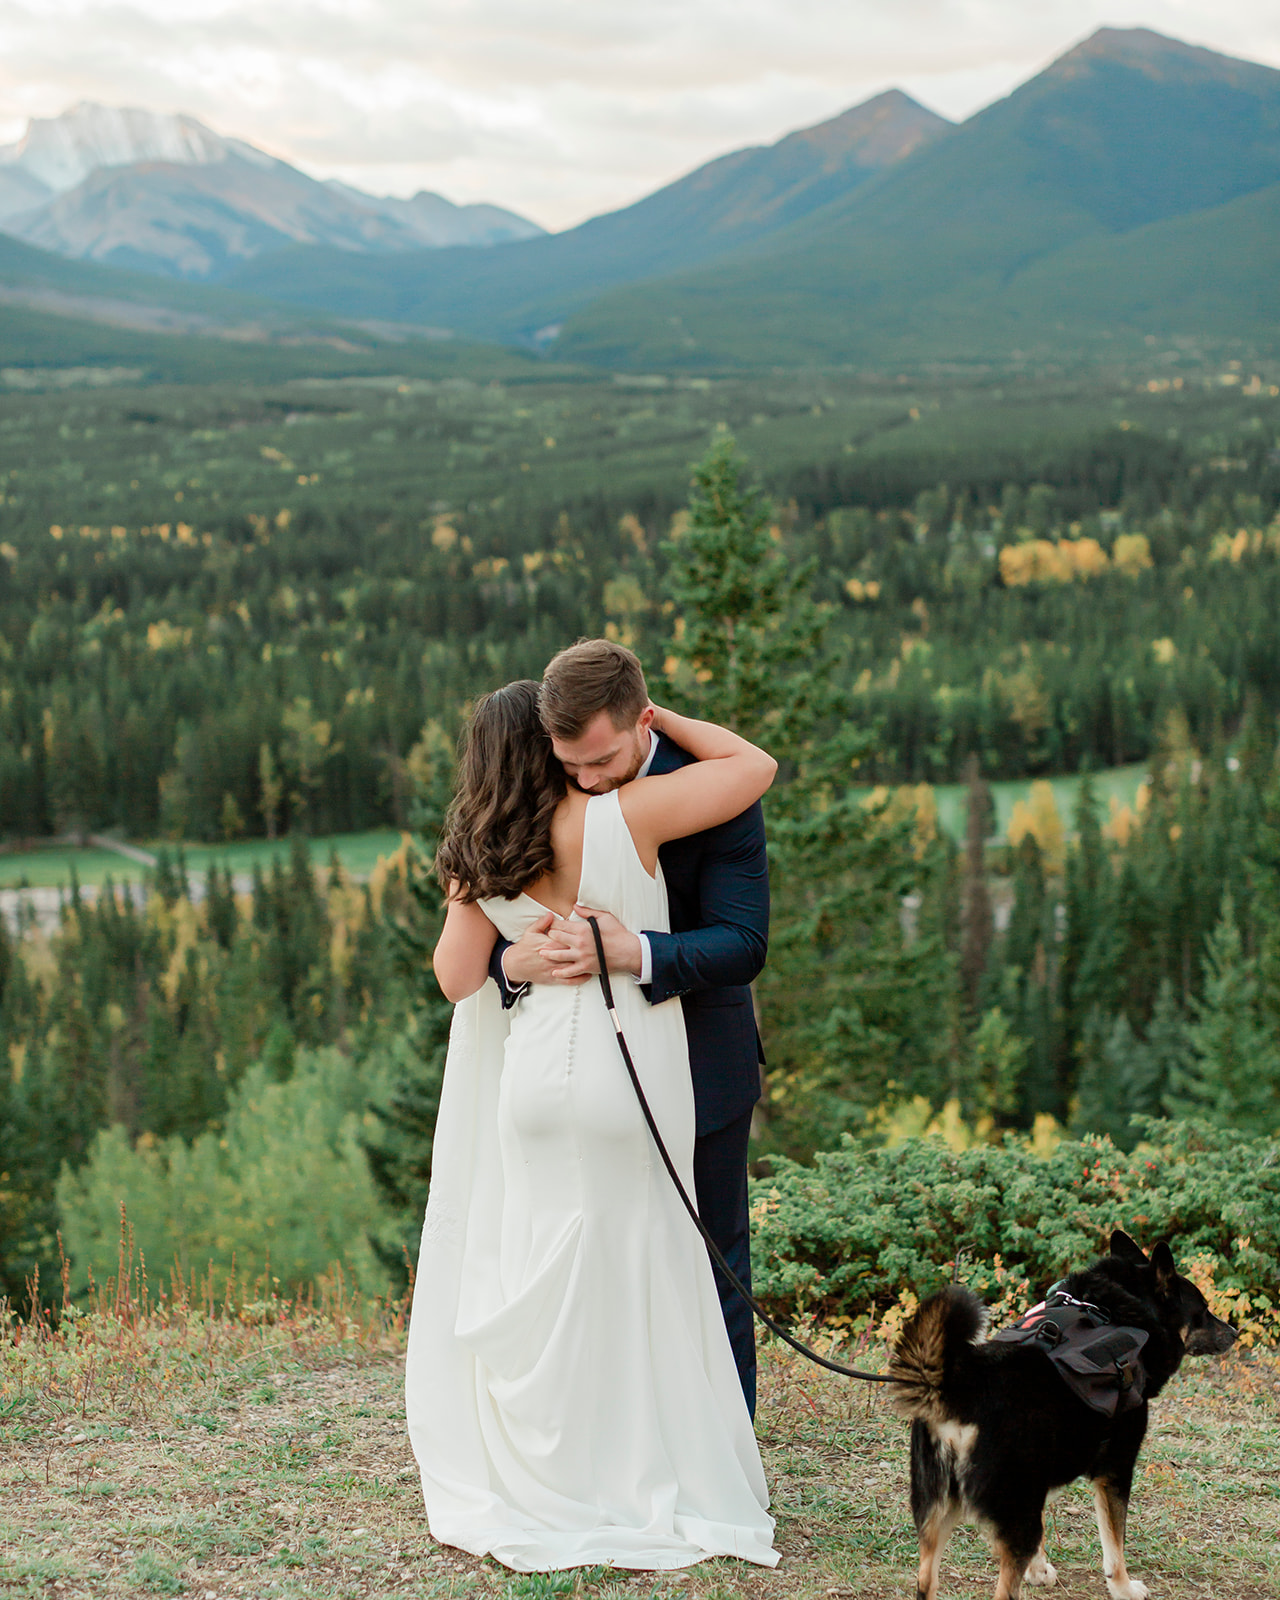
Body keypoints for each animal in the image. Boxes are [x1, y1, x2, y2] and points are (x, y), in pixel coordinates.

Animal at [883, 1228, 1235, 1593]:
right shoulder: (1115, 1470)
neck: (1117, 1311)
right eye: (1204, 1310)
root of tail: (962, 1386)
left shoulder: (1045, 1473)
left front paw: (1038, 1571)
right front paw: (1124, 1589)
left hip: (936, 1512)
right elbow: (1115, 1550)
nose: (1234, 1332)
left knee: (926, 1580)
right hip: (1011, 1515)